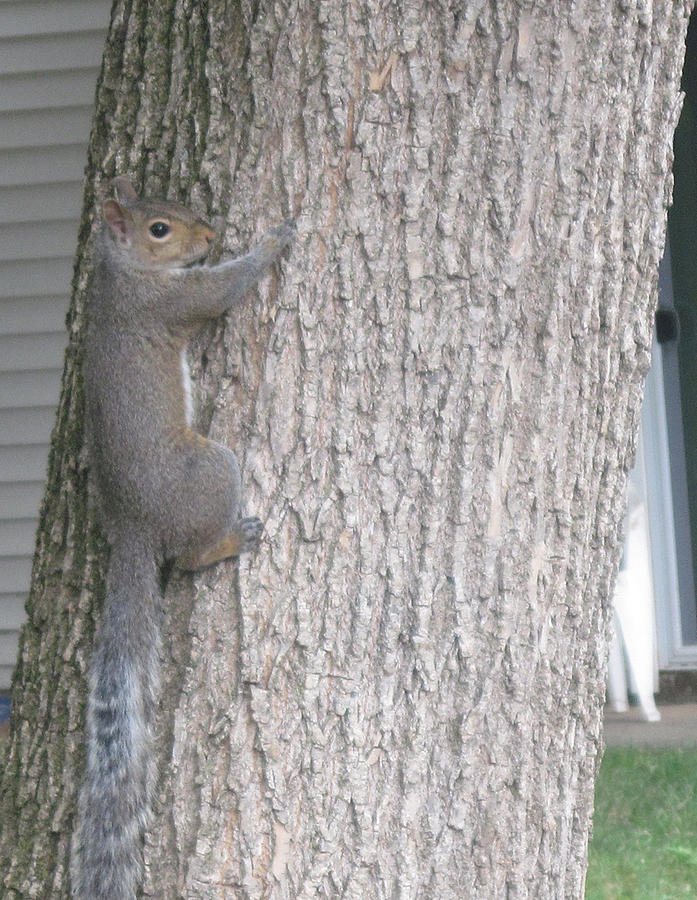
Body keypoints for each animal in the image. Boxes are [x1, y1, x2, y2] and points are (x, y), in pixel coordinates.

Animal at [72, 176, 294, 900]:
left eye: (171, 207)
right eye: (160, 229)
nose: (210, 234)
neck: (120, 273)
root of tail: (136, 531)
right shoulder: (173, 300)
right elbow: (222, 288)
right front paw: (272, 241)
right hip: (211, 469)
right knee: (192, 557)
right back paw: (231, 541)